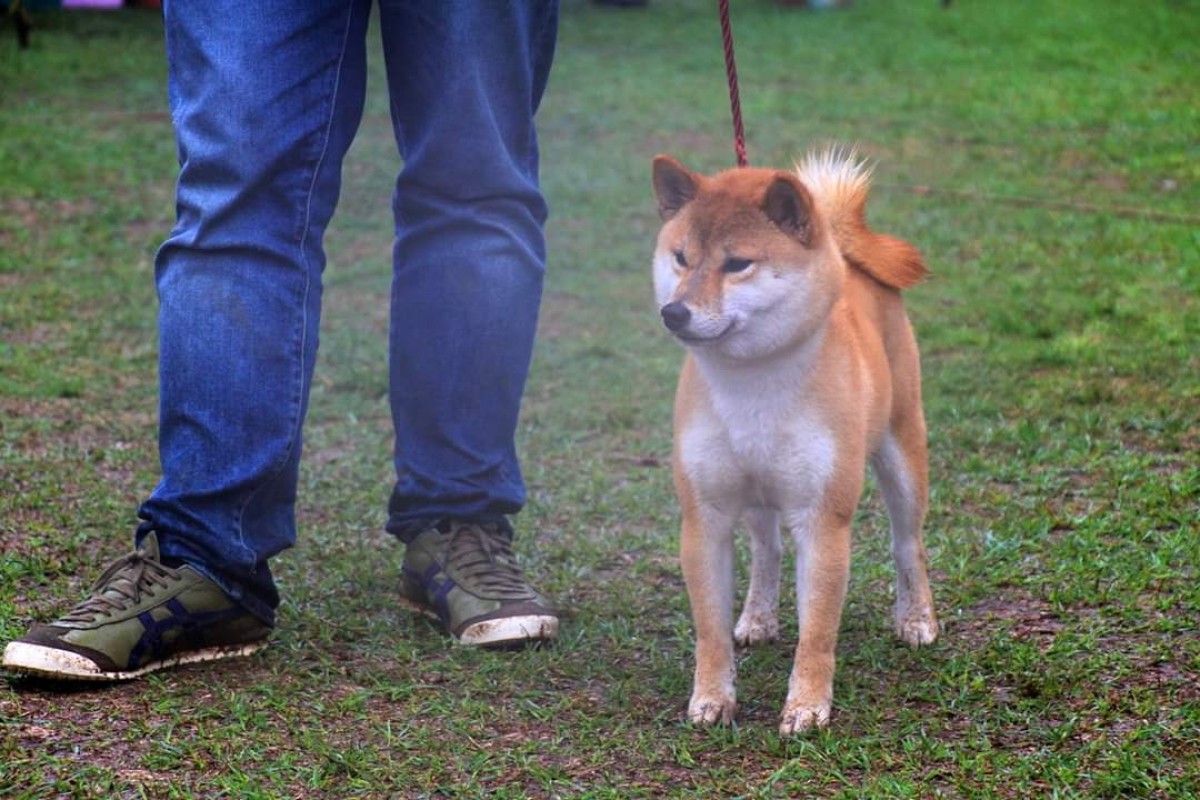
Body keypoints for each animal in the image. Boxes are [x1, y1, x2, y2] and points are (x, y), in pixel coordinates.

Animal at [652, 146, 940, 734]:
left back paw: (916, 618)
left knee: (907, 543)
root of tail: (850, 255)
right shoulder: (704, 516)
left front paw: (807, 704)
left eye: (737, 263)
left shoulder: (823, 519)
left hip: (902, 453)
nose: (674, 312)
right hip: (758, 492)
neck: (753, 381)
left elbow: (818, 632)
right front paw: (711, 697)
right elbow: (709, 631)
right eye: (681, 258)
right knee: (767, 549)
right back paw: (758, 616)